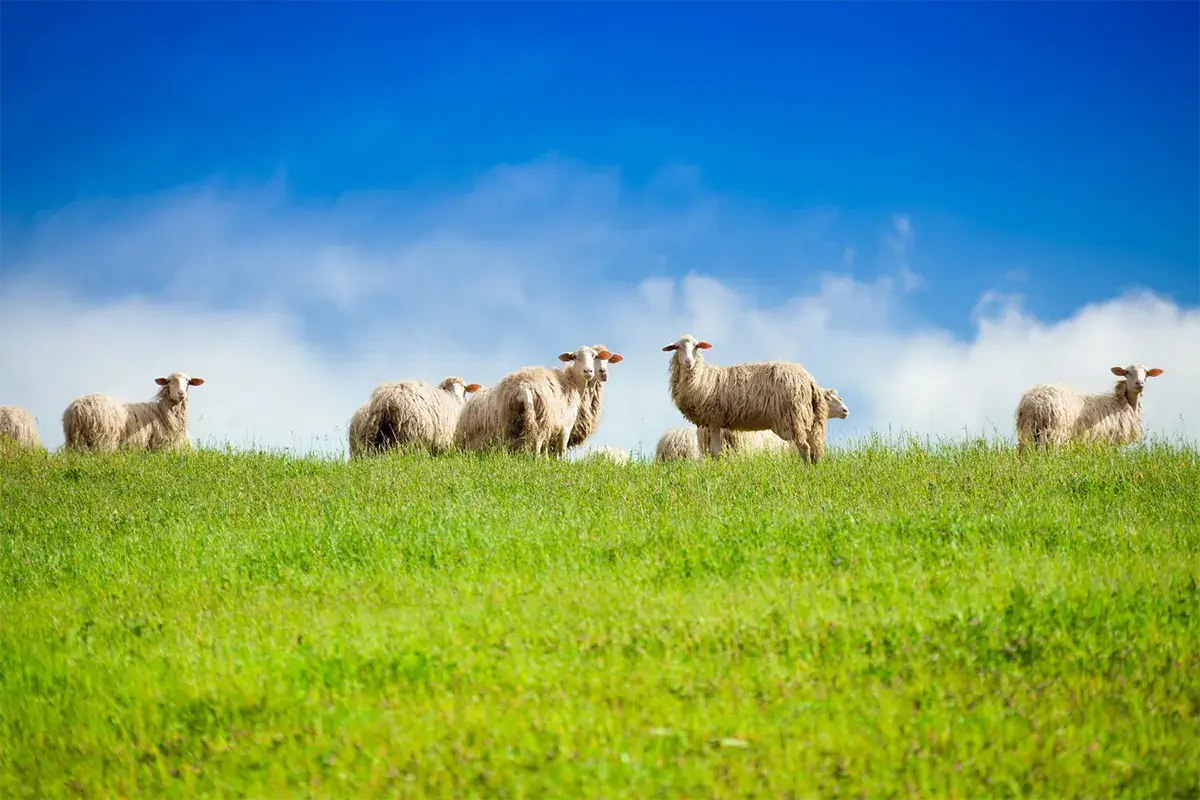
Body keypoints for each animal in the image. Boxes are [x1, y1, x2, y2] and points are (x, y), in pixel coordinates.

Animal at [61, 371, 205, 452]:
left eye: (188, 382)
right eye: (169, 381)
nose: (181, 394)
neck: (163, 410)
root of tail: (77, 409)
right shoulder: (161, 445)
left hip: (75, 441)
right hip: (103, 440)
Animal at [662, 334, 829, 463]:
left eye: (696, 346)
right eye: (677, 347)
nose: (689, 362)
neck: (703, 376)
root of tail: (809, 379)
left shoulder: (714, 419)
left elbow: (715, 452)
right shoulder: (713, 423)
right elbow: (714, 451)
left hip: (794, 416)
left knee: (804, 447)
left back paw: (805, 468)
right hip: (808, 418)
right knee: (814, 446)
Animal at [1015, 364, 1164, 455]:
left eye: (1147, 373)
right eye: (1127, 372)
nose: (1139, 383)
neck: (1123, 402)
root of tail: (1034, 402)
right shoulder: (1111, 439)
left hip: (1028, 430)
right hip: (1054, 431)